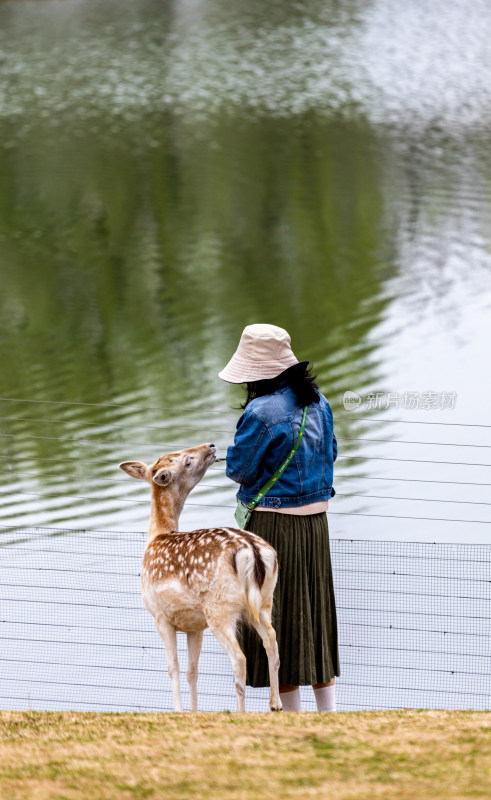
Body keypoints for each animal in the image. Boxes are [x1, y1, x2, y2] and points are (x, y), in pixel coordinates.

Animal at [117, 444, 282, 712]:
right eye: (186, 459)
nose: (211, 446)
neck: (156, 536)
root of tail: (252, 550)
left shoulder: (160, 615)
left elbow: (172, 668)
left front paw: (179, 711)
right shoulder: (194, 625)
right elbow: (192, 671)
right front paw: (194, 712)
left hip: (219, 609)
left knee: (239, 658)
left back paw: (242, 712)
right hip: (264, 600)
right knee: (272, 642)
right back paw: (275, 705)